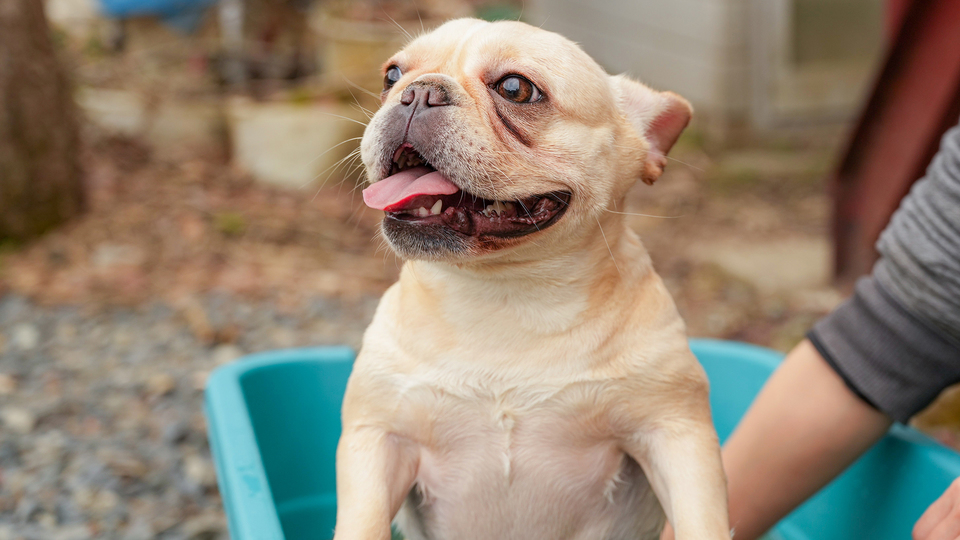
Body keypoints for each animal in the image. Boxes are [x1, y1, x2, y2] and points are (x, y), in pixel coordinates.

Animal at [336, 16, 728, 540]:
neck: (505, 292)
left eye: (515, 89)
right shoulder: (378, 439)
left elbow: (702, 519)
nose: (417, 92)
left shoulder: (676, 433)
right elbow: (362, 521)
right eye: (391, 75)